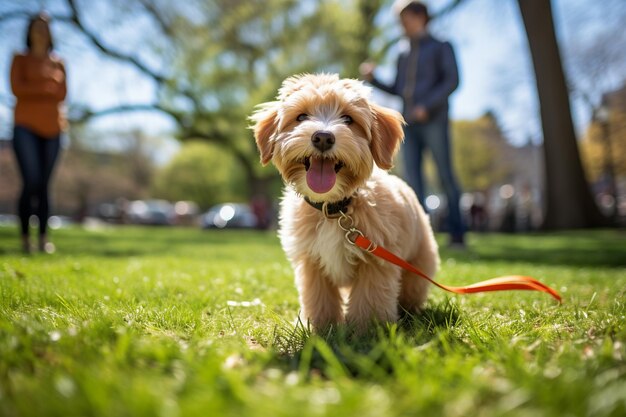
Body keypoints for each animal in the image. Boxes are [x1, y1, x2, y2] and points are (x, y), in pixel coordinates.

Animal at [250, 73, 438, 330]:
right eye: (301, 117)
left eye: (348, 119)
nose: (322, 137)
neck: (334, 209)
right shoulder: (311, 261)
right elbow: (318, 296)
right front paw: (320, 326)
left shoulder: (376, 260)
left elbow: (370, 297)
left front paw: (367, 330)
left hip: (417, 266)